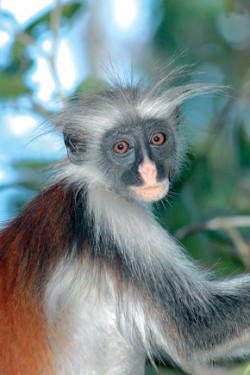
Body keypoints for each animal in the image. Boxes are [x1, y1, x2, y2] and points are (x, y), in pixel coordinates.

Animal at [0, 70, 250, 374]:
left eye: (157, 139)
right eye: (121, 147)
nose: (149, 170)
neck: (92, 183)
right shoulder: (109, 213)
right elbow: (200, 327)